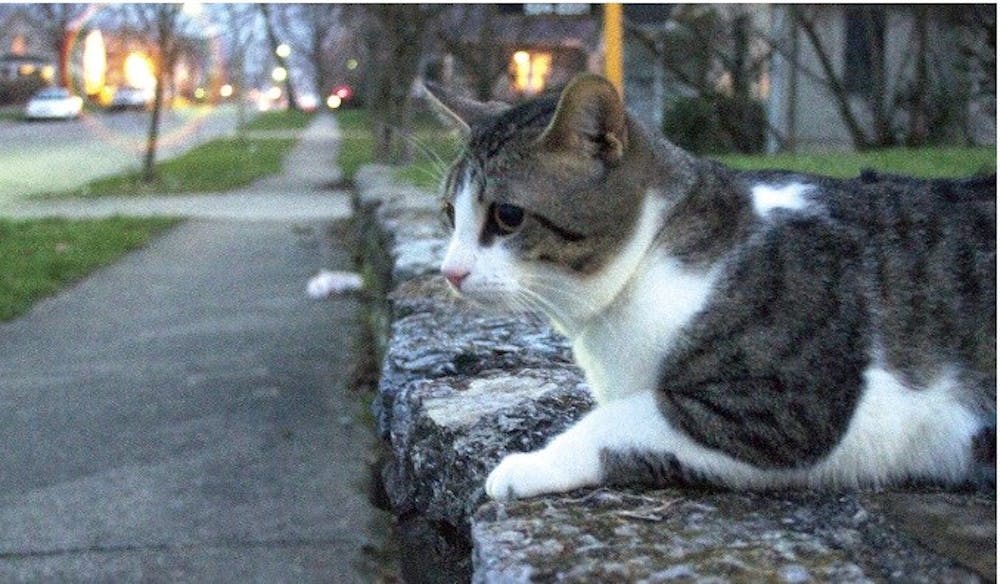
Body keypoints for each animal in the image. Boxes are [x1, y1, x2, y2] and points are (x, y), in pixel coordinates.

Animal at [420, 75, 992, 500]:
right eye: (450, 213)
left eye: (507, 215)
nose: (450, 271)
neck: (647, 266)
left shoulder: (789, 407)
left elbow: (621, 417)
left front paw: (527, 465)